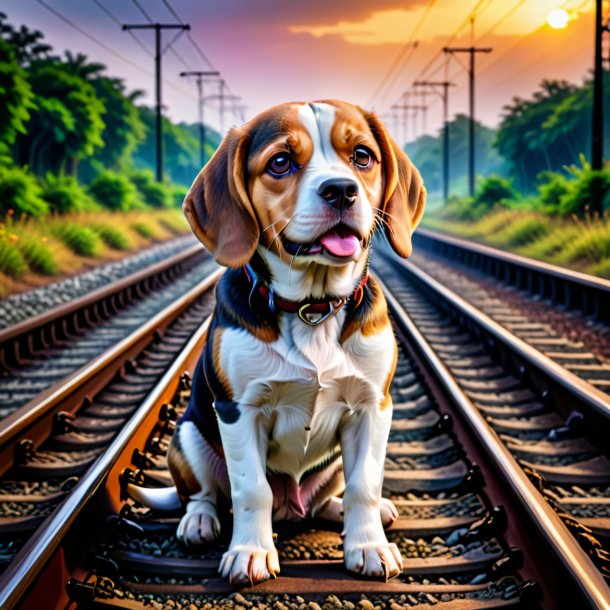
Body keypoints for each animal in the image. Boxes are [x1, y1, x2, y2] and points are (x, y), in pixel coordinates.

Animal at [141, 100, 422, 584]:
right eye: (280, 162)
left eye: (362, 156)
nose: (341, 190)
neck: (313, 306)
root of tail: (293, 508)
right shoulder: (239, 410)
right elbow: (251, 490)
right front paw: (250, 553)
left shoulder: (373, 406)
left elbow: (364, 485)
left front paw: (369, 547)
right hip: (189, 433)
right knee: (204, 494)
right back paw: (199, 521)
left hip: (329, 468)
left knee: (329, 497)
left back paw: (345, 511)